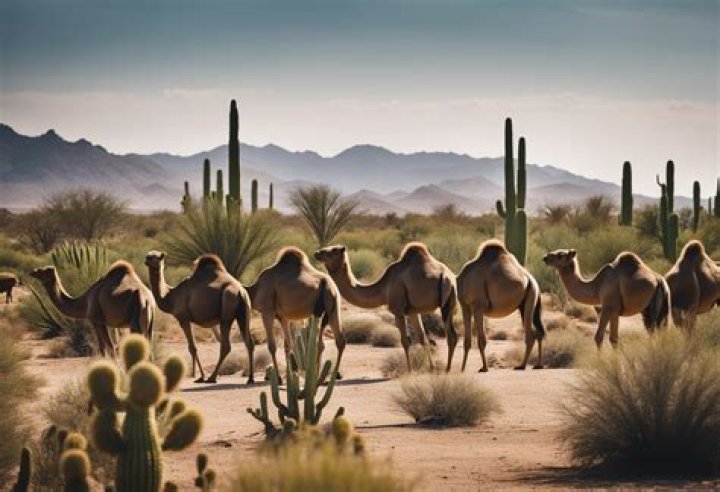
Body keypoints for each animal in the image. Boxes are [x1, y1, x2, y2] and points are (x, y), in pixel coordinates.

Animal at [144, 251, 254, 384]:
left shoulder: (184, 318)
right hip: (243, 314)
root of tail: (241, 291)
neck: (171, 296)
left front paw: (200, 376)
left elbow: (193, 347)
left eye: (154, 257)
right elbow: (193, 347)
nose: (146, 260)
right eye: (148, 256)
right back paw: (250, 378)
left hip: (227, 308)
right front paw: (198, 375)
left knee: (226, 345)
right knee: (249, 342)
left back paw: (212, 378)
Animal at [245, 247, 345, 379]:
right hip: (333, 306)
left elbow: (272, 346)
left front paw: (279, 378)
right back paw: (327, 374)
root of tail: (328, 284)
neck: (255, 290)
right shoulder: (282, 317)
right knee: (336, 341)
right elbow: (288, 344)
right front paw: (289, 375)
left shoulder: (267, 311)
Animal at [314, 242, 458, 372]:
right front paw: (431, 368)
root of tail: (449, 278)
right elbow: (423, 338)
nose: (317, 253)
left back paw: (448, 370)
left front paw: (410, 371)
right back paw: (452, 369)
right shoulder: (413, 311)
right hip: (450, 305)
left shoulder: (398, 309)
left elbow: (405, 341)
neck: (384, 287)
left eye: (334, 251)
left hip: (444, 305)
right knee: (454, 336)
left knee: (450, 337)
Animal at [457, 240, 545, 372]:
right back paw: (538, 365)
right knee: (538, 332)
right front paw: (462, 369)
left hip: (531, 295)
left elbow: (481, 339)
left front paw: (484, 368)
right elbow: (467, 341)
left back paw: (522, 365)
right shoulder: (465, 306)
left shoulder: (478, 305)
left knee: (531, 335)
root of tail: (532, 280)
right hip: (525, 303)